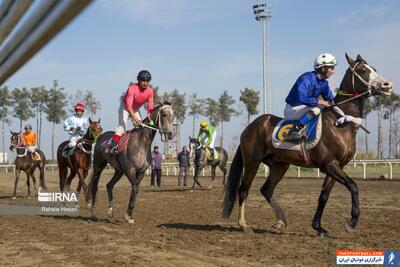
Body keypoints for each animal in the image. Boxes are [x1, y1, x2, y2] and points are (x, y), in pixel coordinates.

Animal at [222, 53, 394, 238]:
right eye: (363, 70)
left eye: (374, 68)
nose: (388, 85)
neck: (340, 123)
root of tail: (250, 127)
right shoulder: (328, 164)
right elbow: (353, 186)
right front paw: (351, 222)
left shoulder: (337, 166)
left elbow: (324, 196)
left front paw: (318, 226)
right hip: (252, 162)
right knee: (243, 190)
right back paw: (244, 224)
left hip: (279, 164)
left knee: (266, 189)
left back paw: (281, 222)